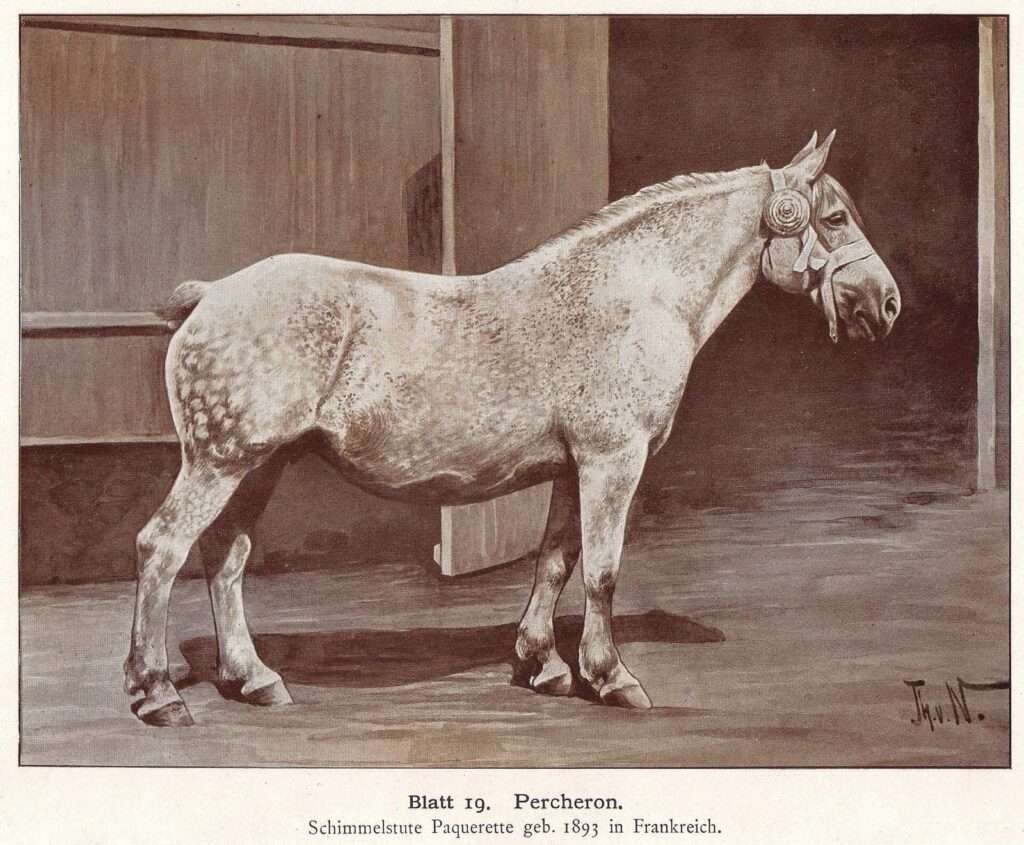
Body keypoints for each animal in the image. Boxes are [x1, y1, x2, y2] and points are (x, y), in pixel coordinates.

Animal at [124, 131, 901, 726]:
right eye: (834, 218)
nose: (887, 303)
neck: (635, 295)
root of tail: (210, 296)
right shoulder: (613, 460)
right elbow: (603, 571)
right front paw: (611, 677)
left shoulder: (571, 466)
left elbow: (554, 561)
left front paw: (542, 664)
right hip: (220, 463)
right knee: (162, 549)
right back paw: (157, 693)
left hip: (259, 465)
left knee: (225, 558)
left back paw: (252, 678)